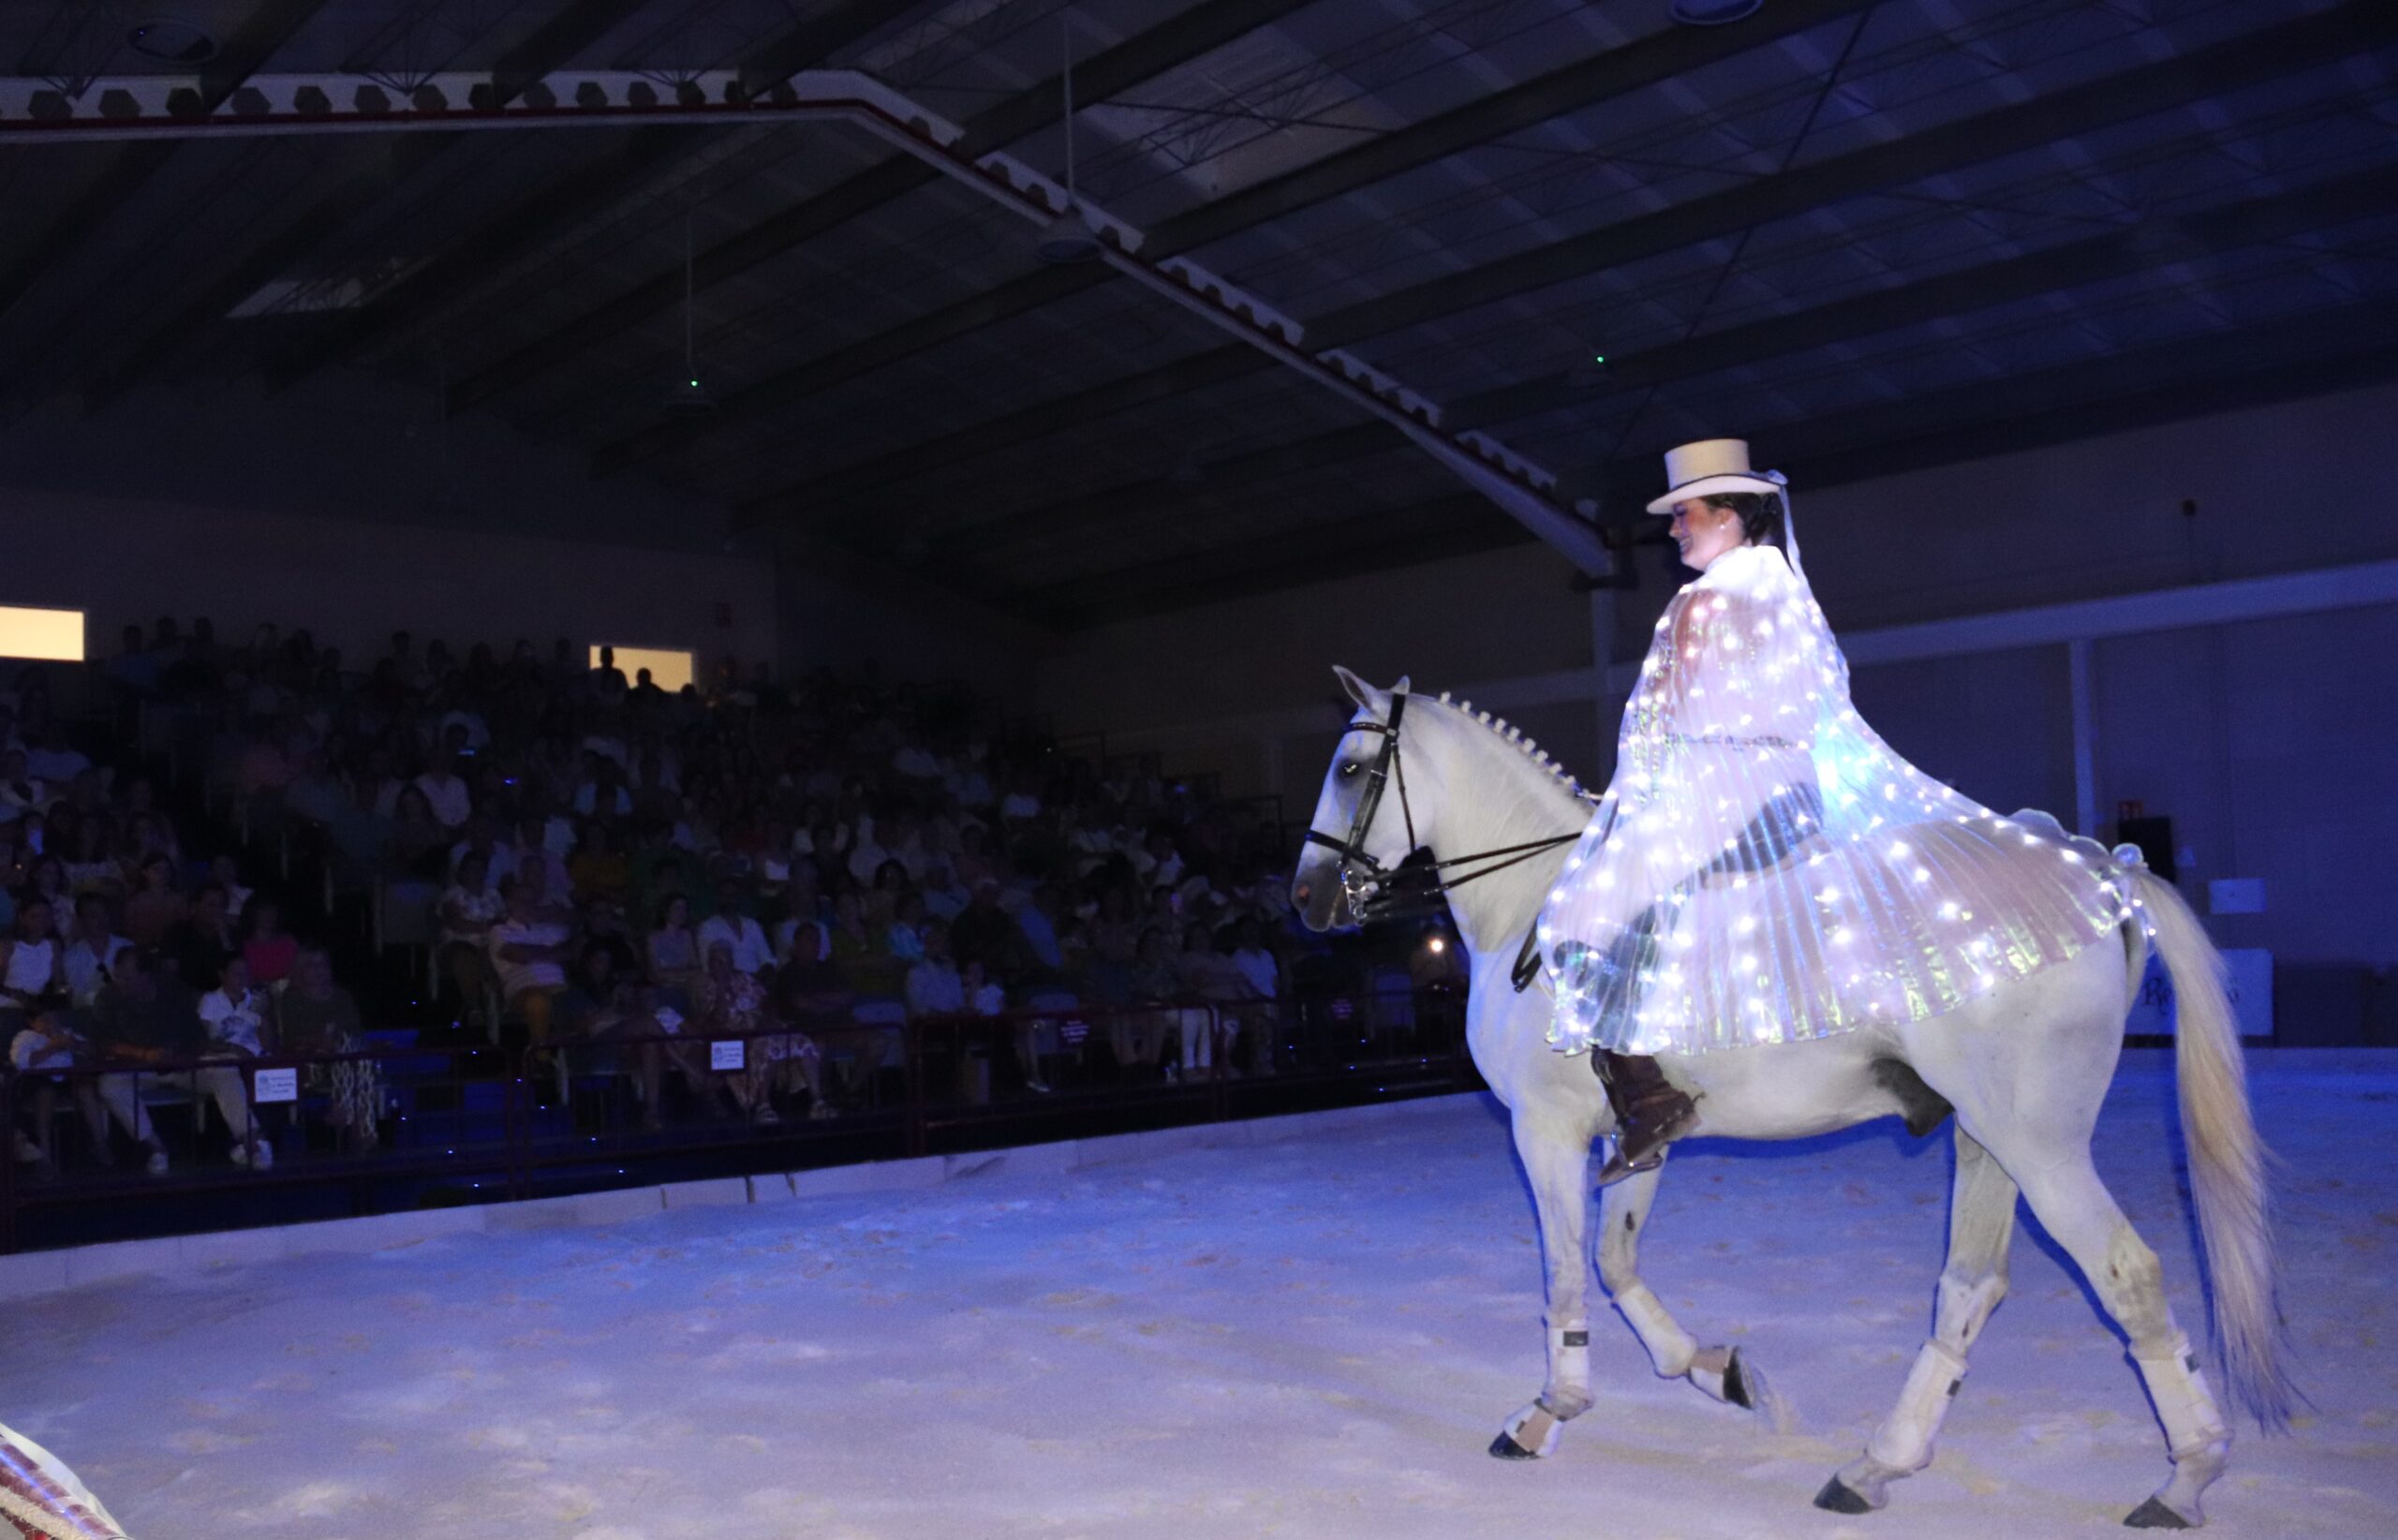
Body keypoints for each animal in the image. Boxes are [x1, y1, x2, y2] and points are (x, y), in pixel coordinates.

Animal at [1295, 666, 2283, 1525]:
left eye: (1351, 770)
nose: (1306, 900)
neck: (1531, 905)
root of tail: (2097, 868)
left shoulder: (1547, 1131)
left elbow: (1568, 1272)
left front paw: (1548, 1412)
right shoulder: (1636, 1135)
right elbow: (1617, 1263)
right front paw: (1719, 1372)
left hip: (2039, 1144)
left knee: (2124, 1274)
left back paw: (2185, 1479)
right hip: (1989, 1140)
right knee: (1971, 1288)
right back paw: (1876, 1466)